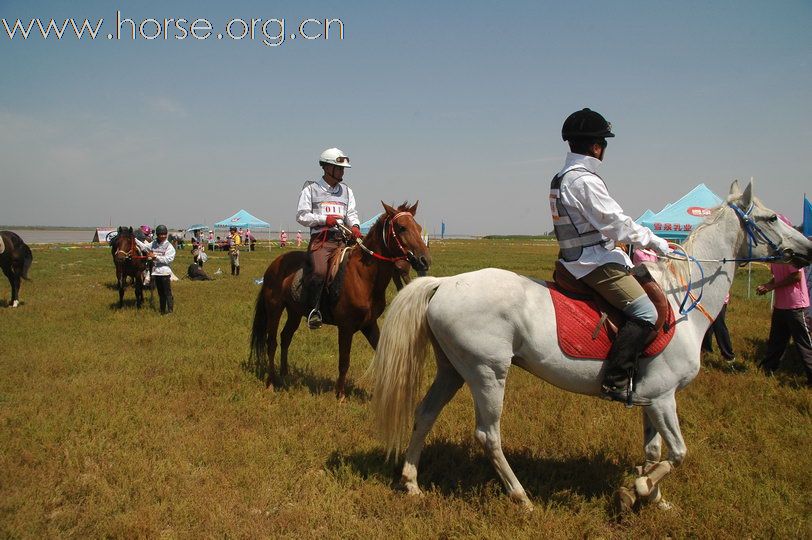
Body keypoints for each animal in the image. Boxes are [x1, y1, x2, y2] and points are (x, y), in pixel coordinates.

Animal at [251, 200, 432, 398]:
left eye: (419, 228)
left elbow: (383, 354)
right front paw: (340, 395)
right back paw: (271, 382)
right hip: (275, 309)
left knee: (285, 338)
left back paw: (284, 376)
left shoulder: (369, 324)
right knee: (271, 343)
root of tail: (274, 265)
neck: (363, 276)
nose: (424, 260)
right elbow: (344, 361)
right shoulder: (346, 327)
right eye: (401, 228)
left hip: (294, 312)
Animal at [370, 181, 812, 510]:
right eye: (772, 218)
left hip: (453, 370)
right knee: (488, 435)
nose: (807, 251)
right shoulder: (664, 397)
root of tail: (443, 284)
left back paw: (411, 483)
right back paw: (521, 496)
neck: (680, 298)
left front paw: (653, 499)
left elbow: (655, 452)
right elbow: (678, 452)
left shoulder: (650, 399)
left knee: (425, 414)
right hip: (487, 373)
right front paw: (639, 490)